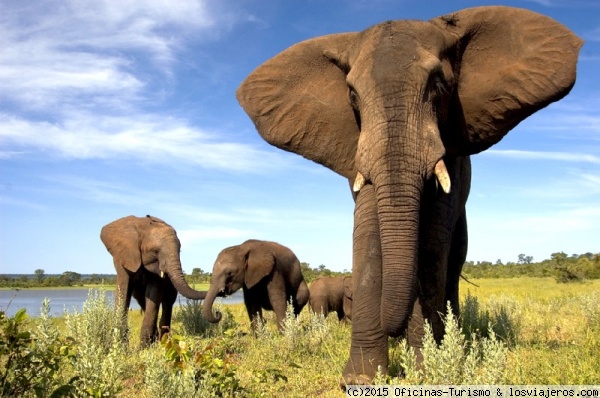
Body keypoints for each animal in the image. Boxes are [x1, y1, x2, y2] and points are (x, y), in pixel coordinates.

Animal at [99, 215, 207, 348]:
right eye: (155, 251)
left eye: (180, 251)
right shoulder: (123, 256)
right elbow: (123, 290)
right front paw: (120, 346)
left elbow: (154, 291)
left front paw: (144, 348)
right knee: (143, 301)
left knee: (167, 302)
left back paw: (164, 341)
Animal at [236, 6, 580, 384]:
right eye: (352, 94)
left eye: (439, 85)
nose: (393, 329)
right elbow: (368, 235)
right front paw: (360, 380)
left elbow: (431, 243)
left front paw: (427, 369)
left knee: (453, 259)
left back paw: (453, 339)